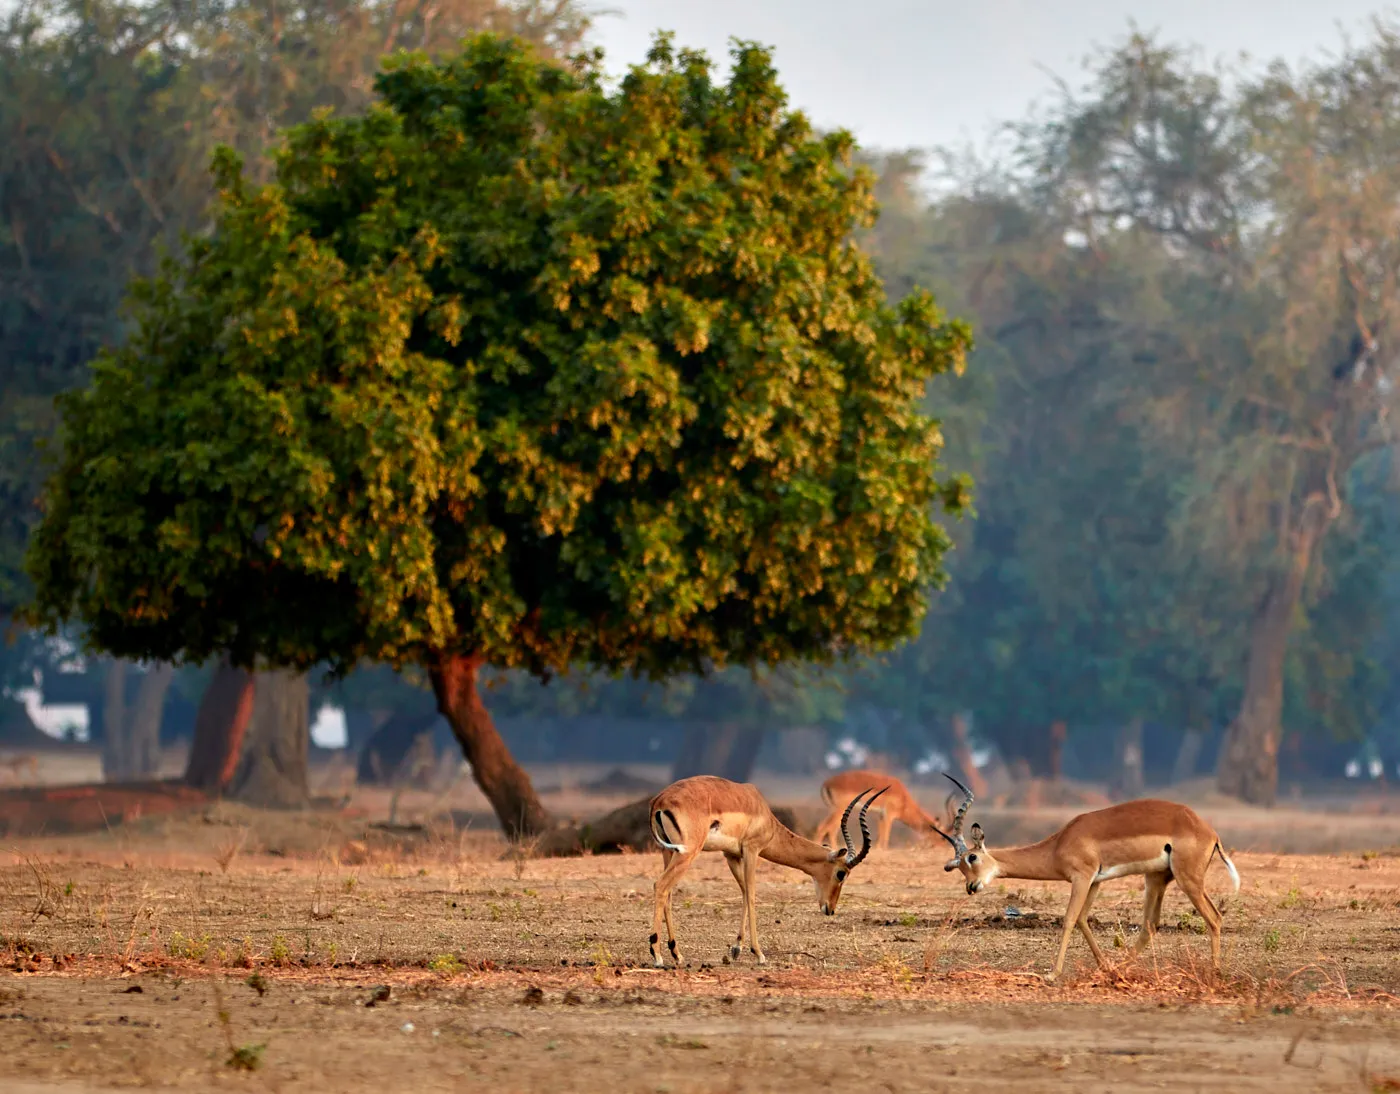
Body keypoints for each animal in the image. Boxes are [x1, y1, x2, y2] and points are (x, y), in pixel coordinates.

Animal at [648, 775, 885, 968]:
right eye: (841, 873)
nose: (831, 909)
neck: (764, 815)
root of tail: (660, 800)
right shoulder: (752, 851)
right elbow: (752, 895)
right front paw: (759, 953)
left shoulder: (731, 855)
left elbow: (744, 893)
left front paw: (736, 949)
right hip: (688, 852)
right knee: (660, 885)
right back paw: (657, 955)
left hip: (668, 851)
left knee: (668, 893)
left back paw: (677, 954)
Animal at [813, 769, 949, 852]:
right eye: (942, 837)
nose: (941, 847)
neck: (903, 798)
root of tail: (826, 784)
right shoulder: (889, 815)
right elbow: (886, 834)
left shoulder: (881, 815)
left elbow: (880, 833)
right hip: (838, 810)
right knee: (825, 828)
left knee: (829, 828)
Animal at [932, 774, 1241, 982]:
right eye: (958, 866)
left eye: (972, 858)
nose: (971, 887)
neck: (1059, 844)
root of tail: (1209, 832)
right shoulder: (1095, 880)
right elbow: (1082, 918)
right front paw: (1103, 966)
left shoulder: (1081, 877)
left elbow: (1069, 919)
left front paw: (1052, 973)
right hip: (1156, 878)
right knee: (1150, 925)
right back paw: (1119, 968)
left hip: (1188, 879)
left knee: (1214, 918)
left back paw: (1215, 973)